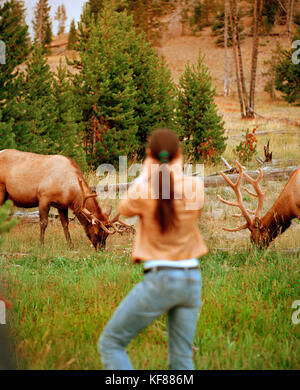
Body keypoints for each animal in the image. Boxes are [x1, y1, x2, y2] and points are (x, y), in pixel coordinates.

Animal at [0, 149, 132, 250]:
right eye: (96, 232)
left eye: (106, 235)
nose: (101, 249)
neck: (68, 191)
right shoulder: (43, 197)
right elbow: (43, 223)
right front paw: (41, 245)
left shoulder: (62, 205)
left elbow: (65, 224)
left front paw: (70, 245)